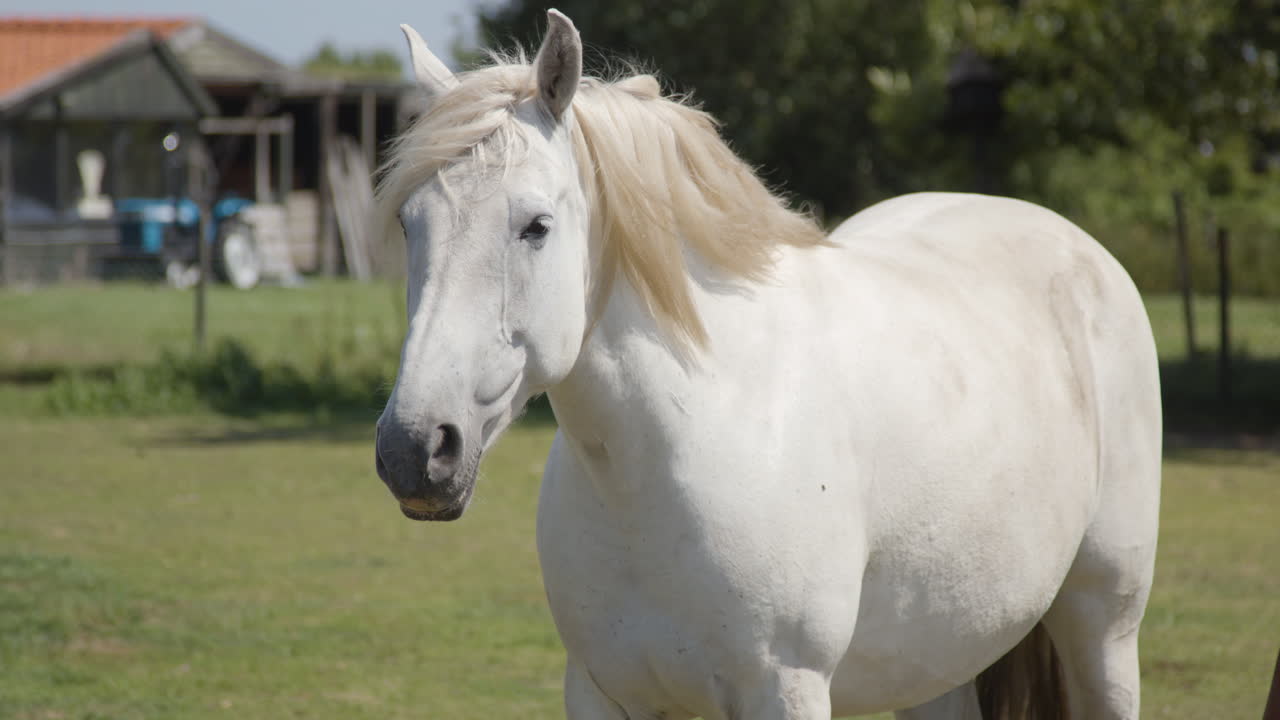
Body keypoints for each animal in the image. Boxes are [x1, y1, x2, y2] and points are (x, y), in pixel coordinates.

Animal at [372, 11, 1161, 719]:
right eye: (410, 224)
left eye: (535, 226)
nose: (415, 449)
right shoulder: (601, 693)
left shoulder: (785, 688)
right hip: (938, 660)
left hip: (1104, 627)